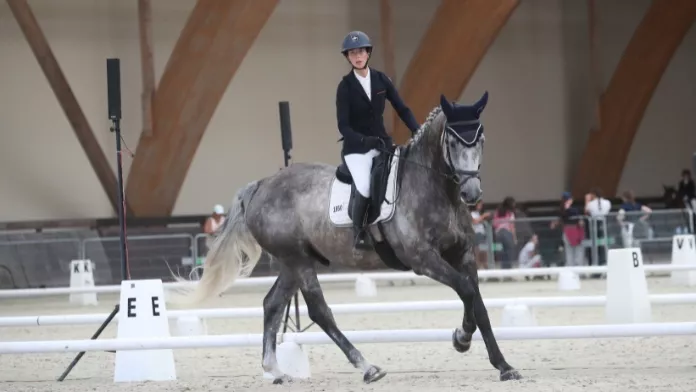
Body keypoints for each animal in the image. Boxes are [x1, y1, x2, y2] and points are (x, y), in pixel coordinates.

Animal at [179, 92, 520, 386]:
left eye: (481, 139)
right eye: (451, 140)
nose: (471, 193)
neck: (436, 188)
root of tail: (262, 184)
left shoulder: (463, 254)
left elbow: (478, 303)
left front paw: (503, 365)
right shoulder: (423, 259)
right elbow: (466, 291)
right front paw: (461, 339)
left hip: (294, 262)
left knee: (272, 304)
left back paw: (275, 370)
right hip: (298, 260)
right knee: (319, 311)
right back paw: (367, 367)